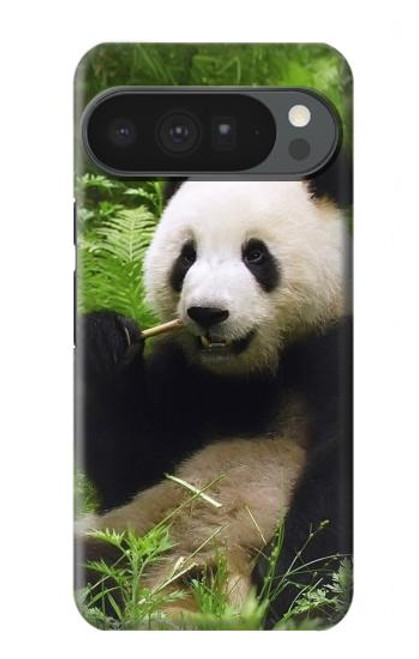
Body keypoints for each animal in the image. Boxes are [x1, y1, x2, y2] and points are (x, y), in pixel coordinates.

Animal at [76, 171, 352, 625]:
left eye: (255, 254)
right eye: (186, 256)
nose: (207, 313)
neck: (255, 371)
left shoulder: (333, 348)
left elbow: (334, 489)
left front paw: (289, 587)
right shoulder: (186, 376)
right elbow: (138, 467)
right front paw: (104, 342)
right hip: (127, 533)